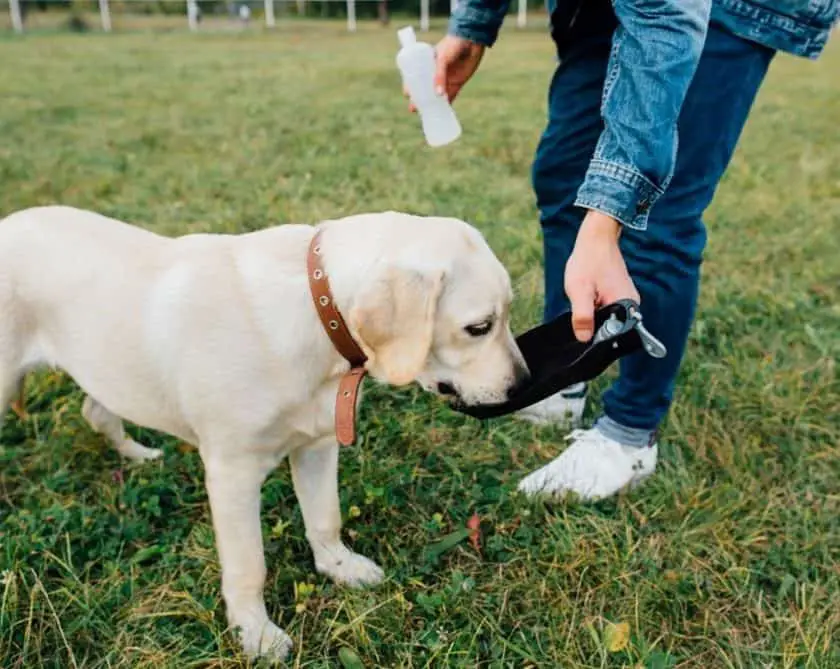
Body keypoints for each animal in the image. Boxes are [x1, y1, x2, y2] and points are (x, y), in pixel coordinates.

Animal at [0, 206, 524, 660]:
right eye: (479, 326)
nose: (524, 384)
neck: (316, 311)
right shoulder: (232, 475)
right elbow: (248, 564)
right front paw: (254, 632)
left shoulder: (317, 446)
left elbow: (325, 518)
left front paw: (339, 566)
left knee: (96, 410)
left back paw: (138, 455)